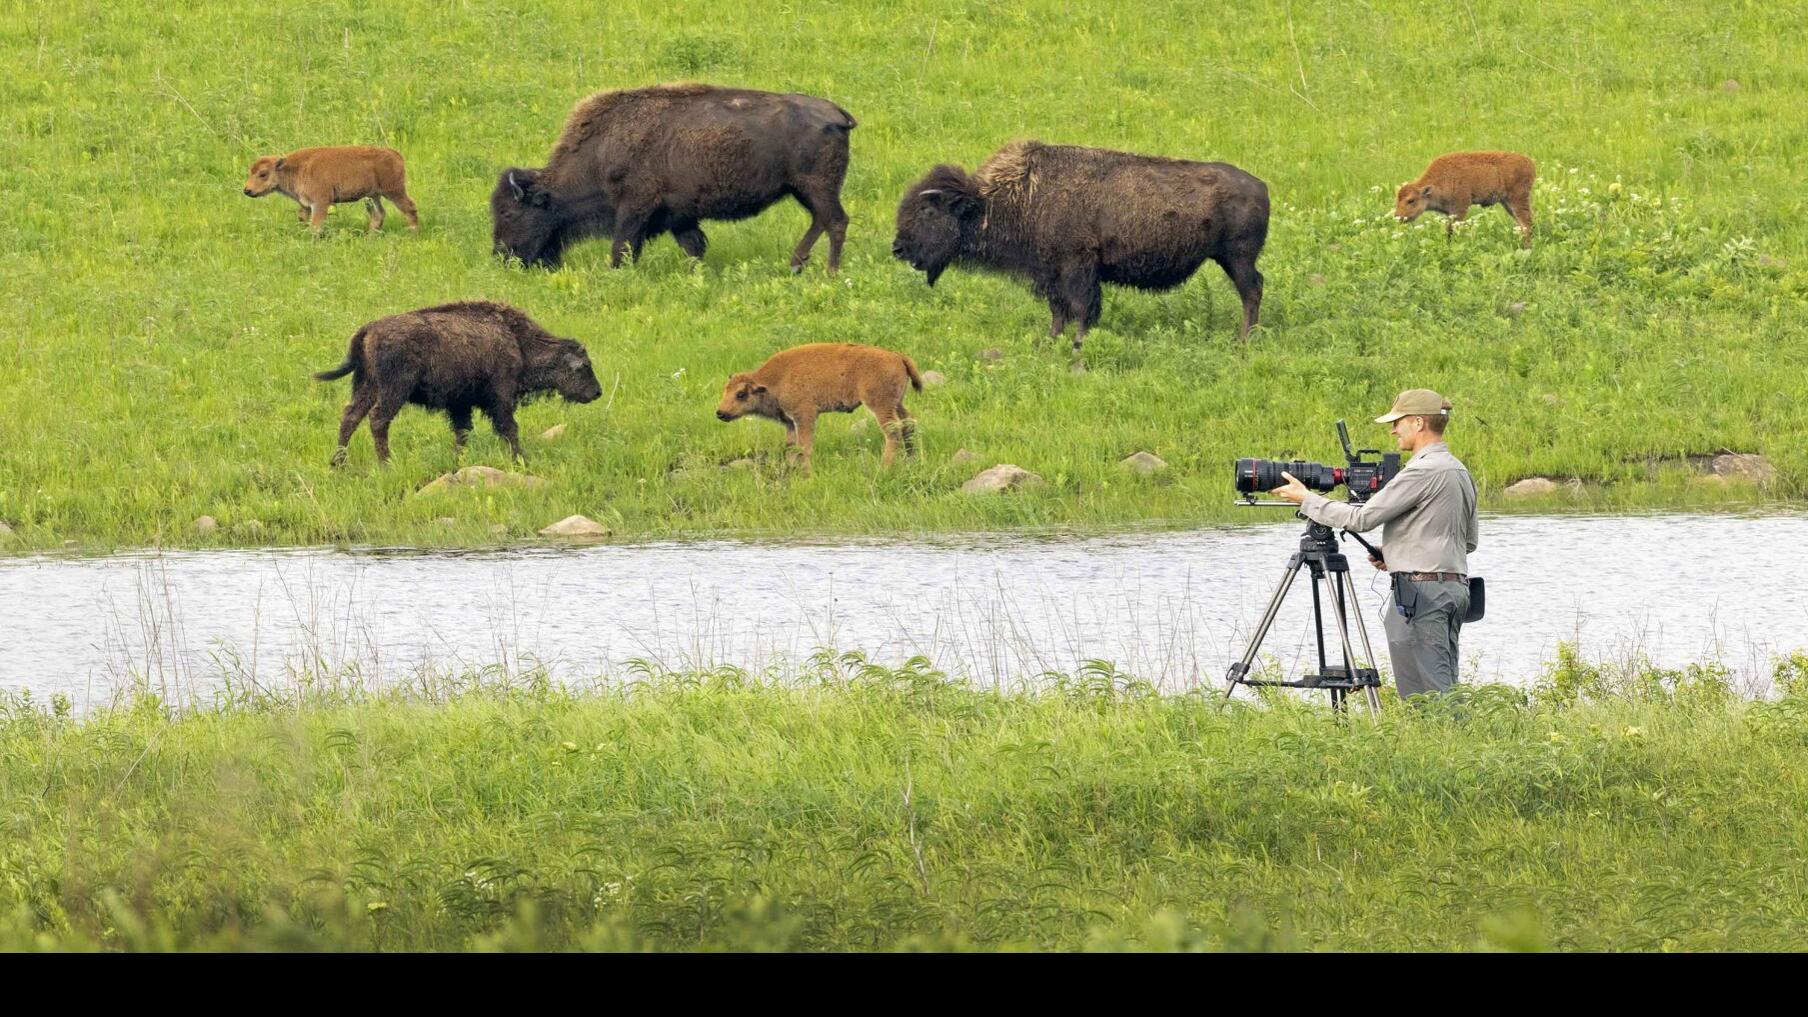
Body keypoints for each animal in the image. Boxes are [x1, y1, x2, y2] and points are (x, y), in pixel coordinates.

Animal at [244, 144, 419, 235]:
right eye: (250, 171)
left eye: (263, 174)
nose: (247, 190)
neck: (294, 168)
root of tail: (396, 155)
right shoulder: (305, 204)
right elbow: (302, 218)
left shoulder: (320, 202)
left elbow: (316, 225)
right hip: (374, 195)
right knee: (379, 214)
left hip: (394, 191)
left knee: (409, 208)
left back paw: (413, 233)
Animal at [314, 296, 603, 463]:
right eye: (584, 366)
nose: (597, 392)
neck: (518, 341)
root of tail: (369, 329)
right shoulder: (500, 396)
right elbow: (509, 428)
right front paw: (520, 458)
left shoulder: (460, 404)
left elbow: (462, 432)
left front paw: (459, 460)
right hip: (393, 390)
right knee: (377, 419)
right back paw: (386, 463)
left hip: (367, 386)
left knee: (351, 416)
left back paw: (338, 463)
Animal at [491, 82, 856, 273]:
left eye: (508, 213)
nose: (501, 257)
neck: (601, 151)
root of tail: (838, 115)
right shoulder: (680, 215)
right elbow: (694, 246)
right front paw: (697, 275)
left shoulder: (634, 207)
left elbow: (622, 246)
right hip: (803, 190)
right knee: (821, 221)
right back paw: (797, 264)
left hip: (816, 187)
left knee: (835, 221)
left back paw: (830, 272)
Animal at [712, 340, 925, 466]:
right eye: (725, 390)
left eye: (741, 394)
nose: (720, 413)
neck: (775, 379)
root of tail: (897, 356)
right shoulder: (790, 422)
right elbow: (791, 446)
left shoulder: (805, 415)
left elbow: (804, 446)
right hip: (897, 402)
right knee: (909, 423)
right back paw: (910, 460)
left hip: (880, 404)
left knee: (893, 430)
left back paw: (885, 466)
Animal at [893, 138, 1272, 345]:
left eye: (927, 210)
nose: (897, 248)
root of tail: (1261, 185)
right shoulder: (1050, 273)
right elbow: (1058, 309)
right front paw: (1051, 340)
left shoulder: (1078, 267)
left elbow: (1081, 307)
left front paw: (1077, 342)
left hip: (1237, 258)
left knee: (1251, 290)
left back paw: (1244, 340)